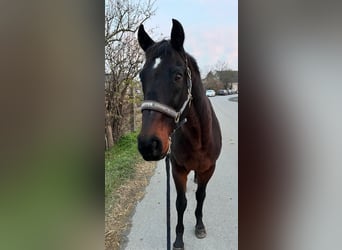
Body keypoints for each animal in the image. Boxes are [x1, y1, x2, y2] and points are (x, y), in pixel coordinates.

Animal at [138, 18, 223, 249]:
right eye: (141, 77)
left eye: (178, 76)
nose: (148, 144)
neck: (198, 137)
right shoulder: (178, 169)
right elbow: (180, 202)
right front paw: (177, 238)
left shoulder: (209, 169)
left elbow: (200, 196)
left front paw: (199, 226)